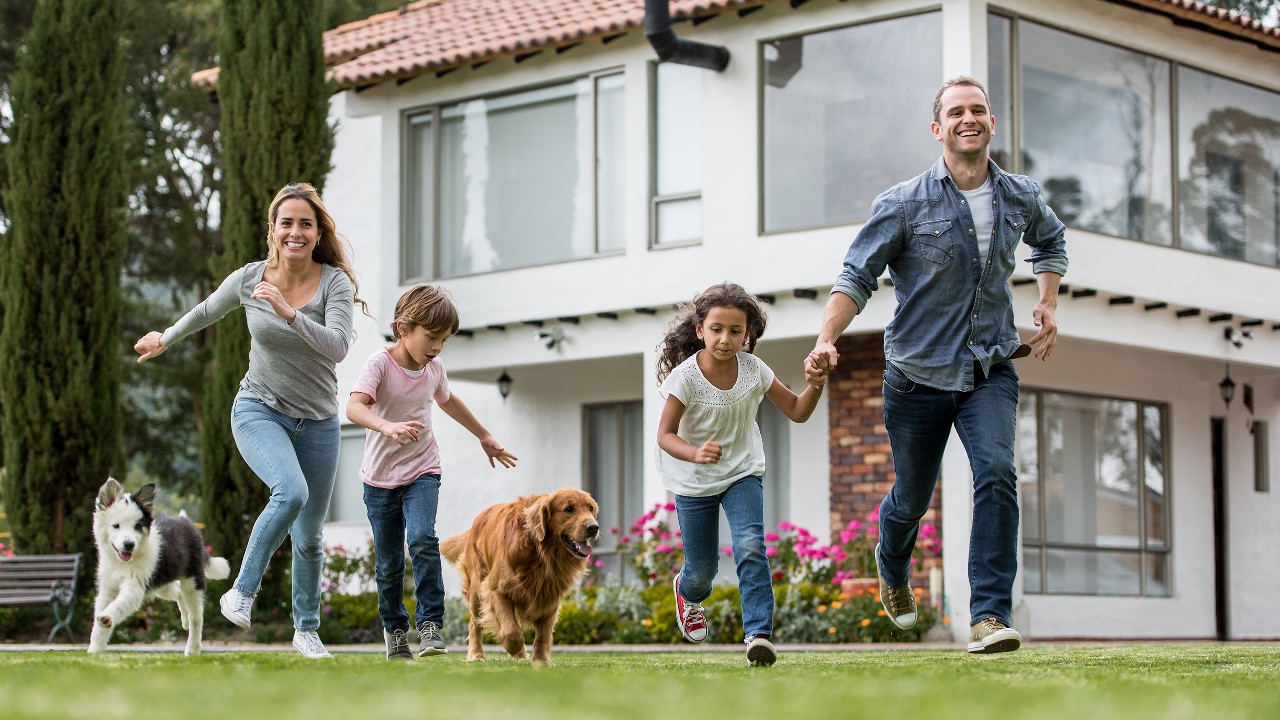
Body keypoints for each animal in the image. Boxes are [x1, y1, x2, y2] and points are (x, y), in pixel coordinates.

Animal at [87, 476, 230, 650]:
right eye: (116, 525)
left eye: (138, 526)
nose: (129, 544)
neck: (123, 563)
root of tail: (186, 521)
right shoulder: (107, 590)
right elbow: (99, 626)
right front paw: (95, 650)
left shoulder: (135, 588)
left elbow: (118, 605)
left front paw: (107, 617)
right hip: (162, 583)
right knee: (178, 592)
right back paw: (185, 619)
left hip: (192, 580)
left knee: (196, 618)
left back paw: (193, 648)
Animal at [440, 484, 599, 666]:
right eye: (569, 509)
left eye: (590, 508)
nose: (594, 527)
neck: (540, 555)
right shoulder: (496, 591)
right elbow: (511, 632)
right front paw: (512, 647)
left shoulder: (550, 597)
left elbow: (543, 635)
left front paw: (541, 661)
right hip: (476, 591)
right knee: (474, 624)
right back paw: (476, 654)